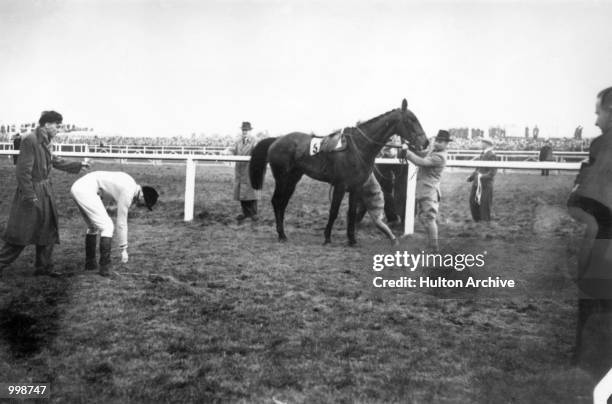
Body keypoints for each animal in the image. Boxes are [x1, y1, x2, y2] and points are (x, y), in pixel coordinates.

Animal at [247, 99, 426, 245]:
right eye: (411, 119)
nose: (425, 142)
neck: (358, 147)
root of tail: (276, 140)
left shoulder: (356, 188)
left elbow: (351, 213)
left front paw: (352, 240)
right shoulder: (340, 186)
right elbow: (333, 211)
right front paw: (327, 237)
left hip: (293, 179)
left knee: (282, 203)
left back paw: (283, 233)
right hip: (282, 178)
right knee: (277, 201)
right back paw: (281, 235)